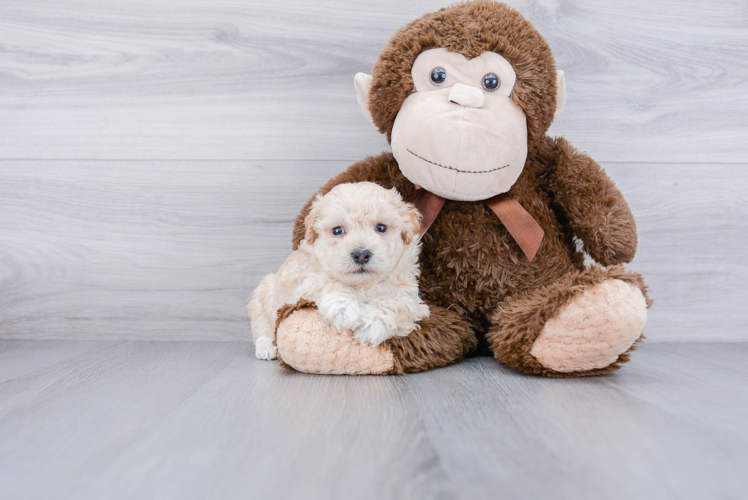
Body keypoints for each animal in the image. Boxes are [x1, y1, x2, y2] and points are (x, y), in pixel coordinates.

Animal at [248, 183, 430, 360]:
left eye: (381, 227)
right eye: (337, 231)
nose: (361, 254)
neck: (362, 285)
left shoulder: (410, 298)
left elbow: (395, 304)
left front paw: (371, 324)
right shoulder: (303, 280)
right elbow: (326, 283)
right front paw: (344, 309)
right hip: (265, 293)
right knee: (262, 325)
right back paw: (266, 347)